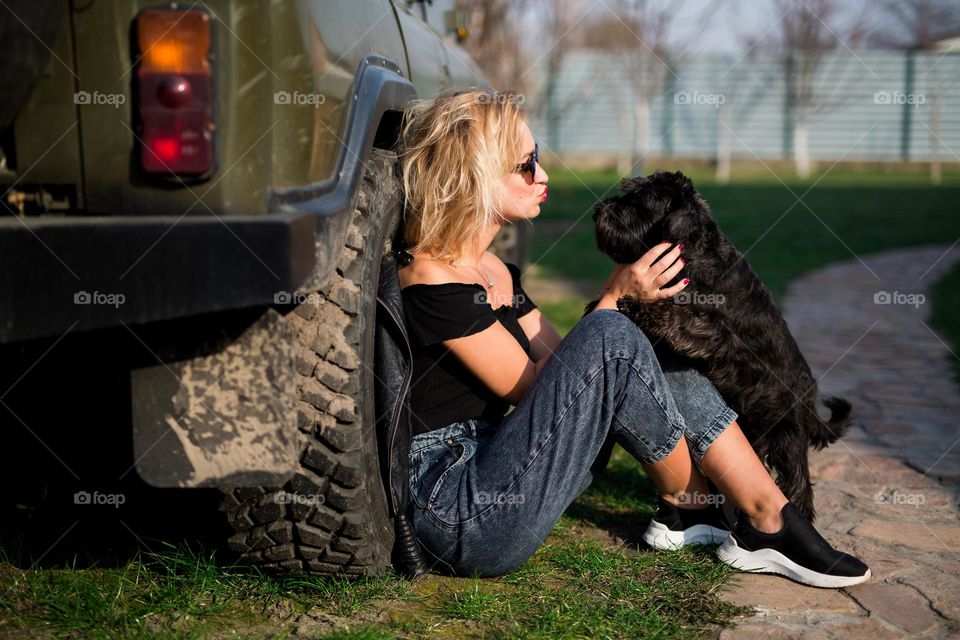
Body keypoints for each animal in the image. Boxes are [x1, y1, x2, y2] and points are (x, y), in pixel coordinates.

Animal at [588, 171, 852, 524]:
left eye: (639, 203)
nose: (598, 212)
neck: (692, 248)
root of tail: (810, 400)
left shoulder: (712, 330)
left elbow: (674, 315)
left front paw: (635, 305)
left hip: (786, 436)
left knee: (797, 483)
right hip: (754, 430)